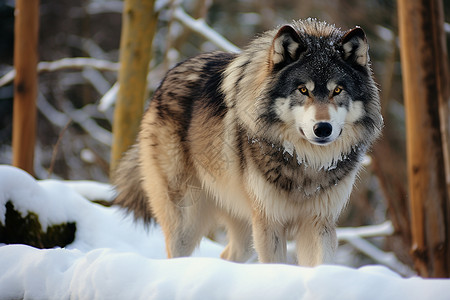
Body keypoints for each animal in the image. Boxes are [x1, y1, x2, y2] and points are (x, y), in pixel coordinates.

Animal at [113, 19, 384, 266]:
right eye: (302, 90)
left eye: (337, 91)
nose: (323, 128)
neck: (307, 166)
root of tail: (163, 82)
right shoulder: (269, 222)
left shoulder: (318, 222)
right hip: (186, 221)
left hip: (243, 233)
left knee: (227, 256)